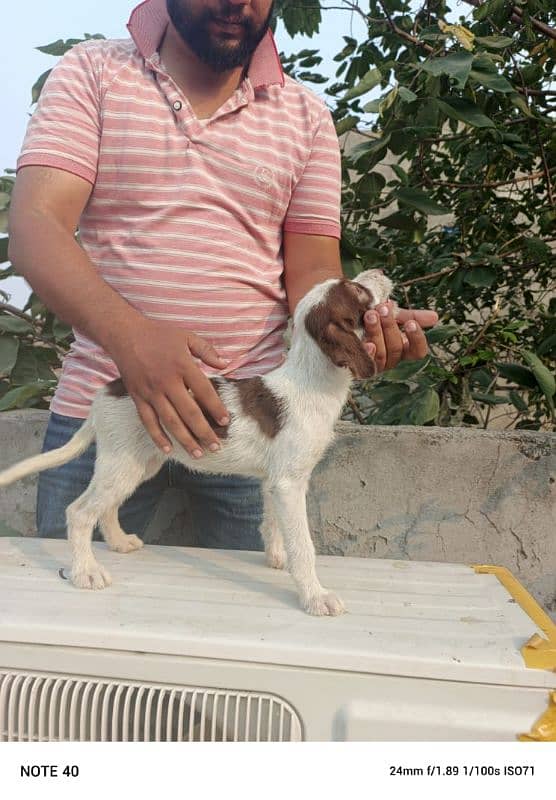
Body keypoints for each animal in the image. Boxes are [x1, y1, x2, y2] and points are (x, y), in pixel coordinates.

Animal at [0, 272, 394, 616]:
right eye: (357, 290)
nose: (380, 272)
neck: (309, 381)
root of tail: (104, 394)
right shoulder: (289, 483)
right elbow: (303, 545)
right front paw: (314, 595)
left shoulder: (274, 480)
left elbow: (273, 525)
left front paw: (276, 559)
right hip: (123, 462)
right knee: (79, 512)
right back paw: (86, 572)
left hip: (138, 462)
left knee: (107, 507)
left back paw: (119, 542)